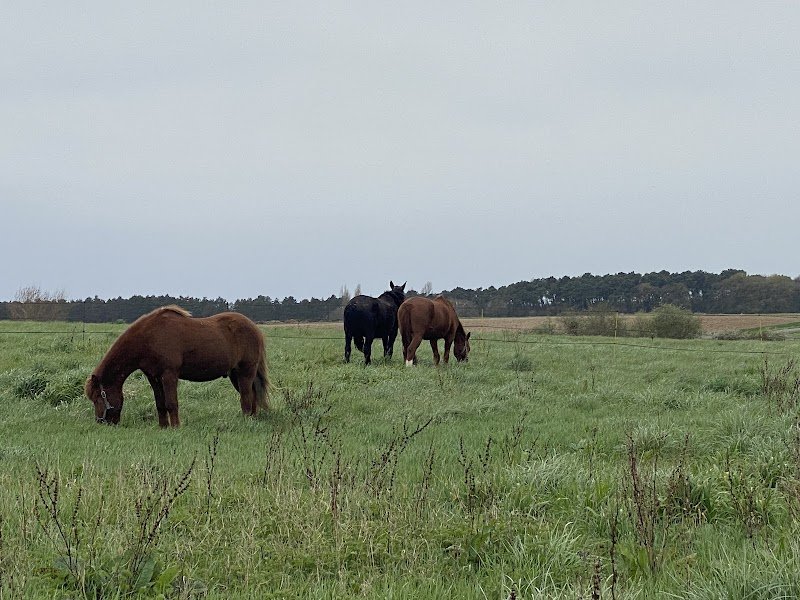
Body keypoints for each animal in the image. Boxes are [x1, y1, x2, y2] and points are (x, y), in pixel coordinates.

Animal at [85, 305, 268, 427]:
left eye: (99, 397)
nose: (101, 422)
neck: (149, 338)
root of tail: (255, 328)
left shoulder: (169, 375)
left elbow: (171, 402)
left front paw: (175, 426)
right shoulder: (153, 377)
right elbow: (160, 404)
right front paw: (163, 427)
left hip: (245, 372)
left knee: (246, 397)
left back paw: (246, 421)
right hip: (235, 374)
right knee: (252, 395)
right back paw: (254, 419)